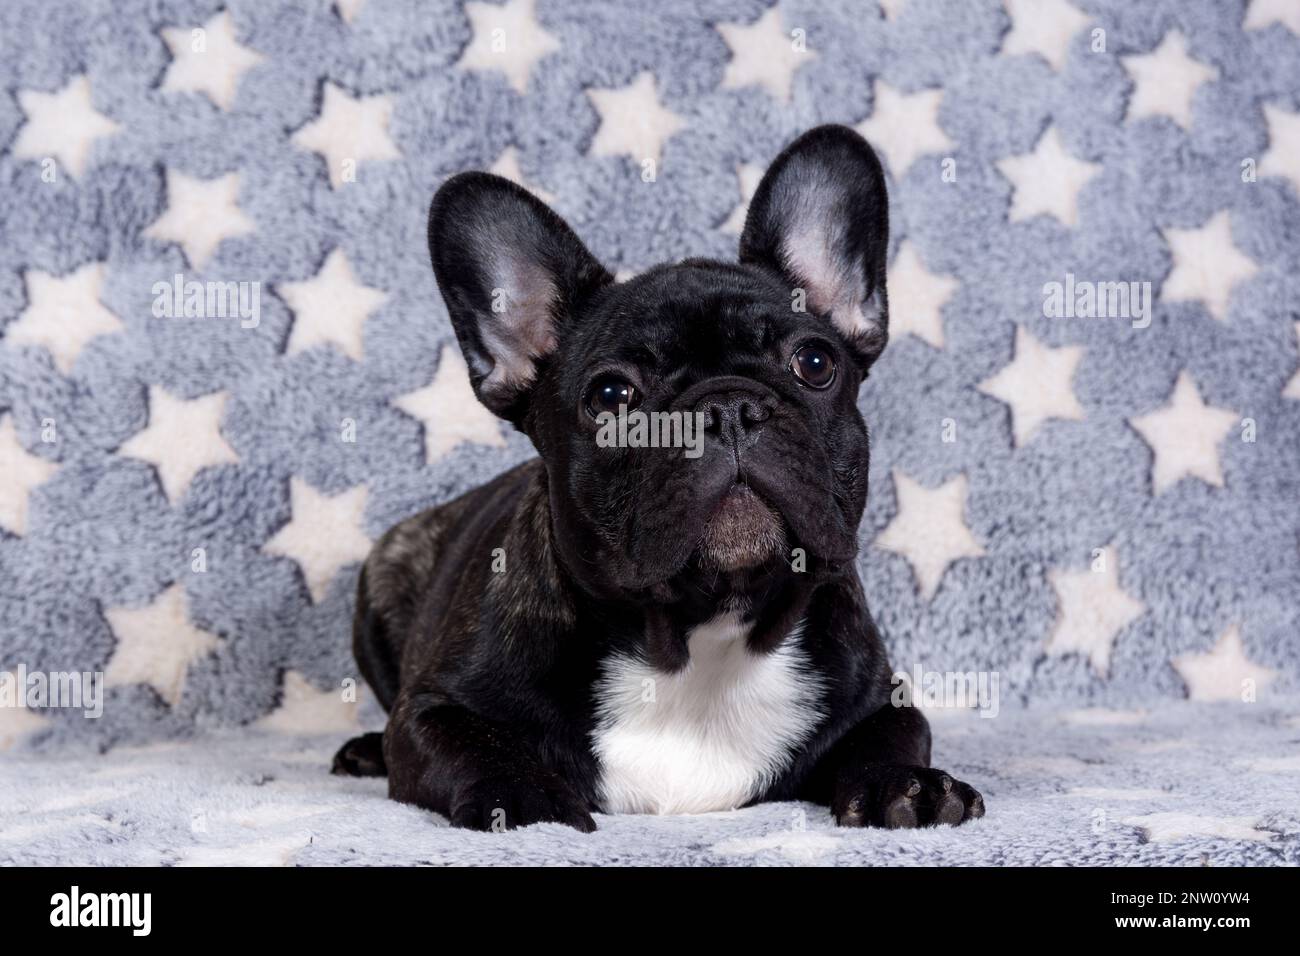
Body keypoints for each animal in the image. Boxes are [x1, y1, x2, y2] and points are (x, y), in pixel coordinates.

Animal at [335, 125, 982, 832]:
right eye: (611, 396)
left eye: (814, 363)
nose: (726, 407)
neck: (702, 637)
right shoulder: (433, 710)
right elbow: (470, 744)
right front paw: (523, 796)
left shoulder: (881, 700)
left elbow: (891, 735)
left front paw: (908, 786)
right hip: (383, 570)